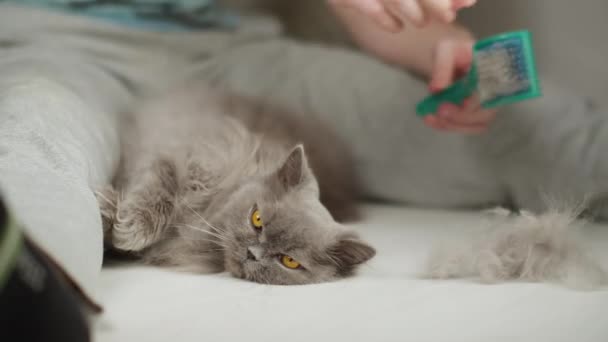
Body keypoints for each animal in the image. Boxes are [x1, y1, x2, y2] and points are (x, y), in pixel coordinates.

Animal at [96, 83, 376, 286]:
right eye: (257, 219)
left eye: (289, 261)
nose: (253, 253)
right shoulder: (175, 158)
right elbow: (156, 194)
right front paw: (127, 226)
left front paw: (111, 216)